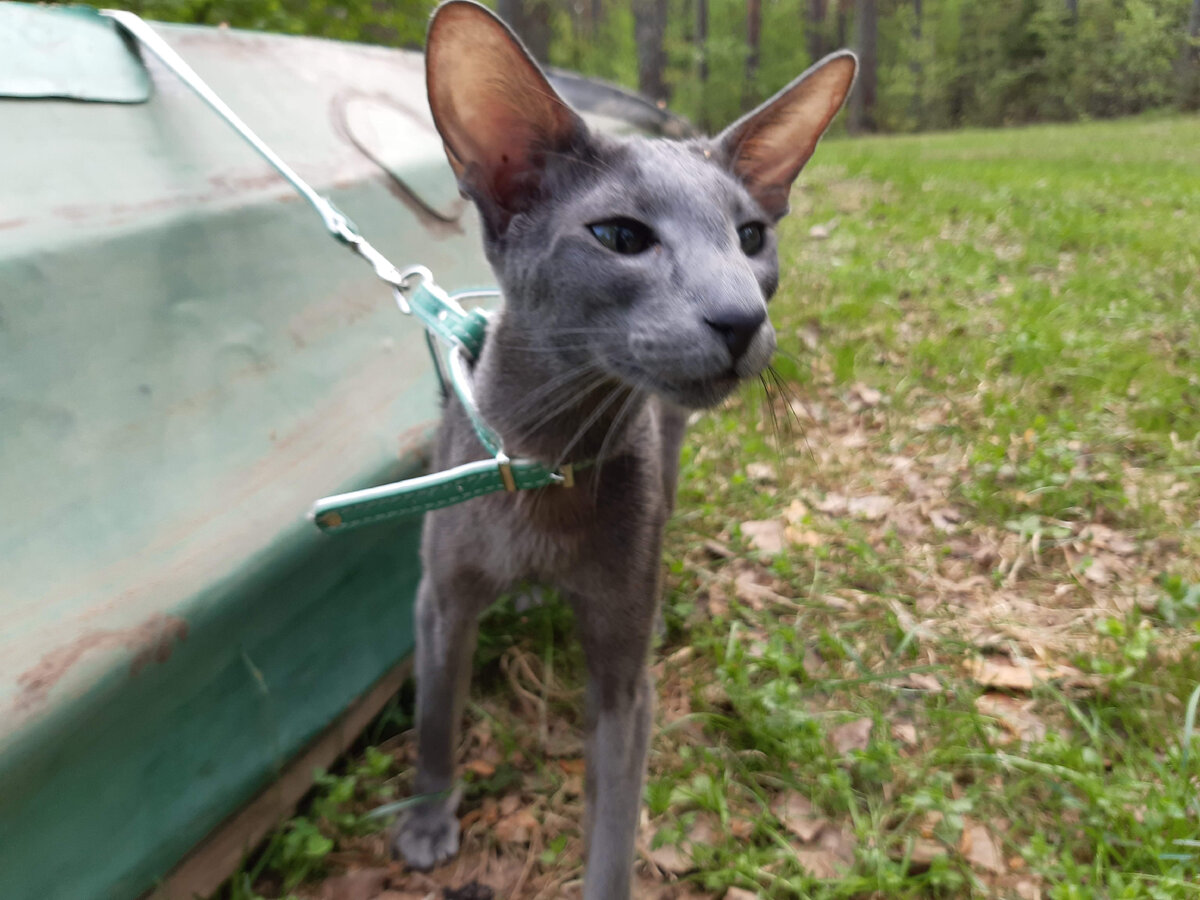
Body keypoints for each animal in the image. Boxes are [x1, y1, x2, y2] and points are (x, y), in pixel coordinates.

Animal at [393, 3, 854, 897]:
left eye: (751, 238)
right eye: (618, 235)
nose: (740, 318)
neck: (550, 459)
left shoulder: (622, 676)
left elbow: (615, 822)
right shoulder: (438, 599)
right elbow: (435, 718)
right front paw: (428, 820)